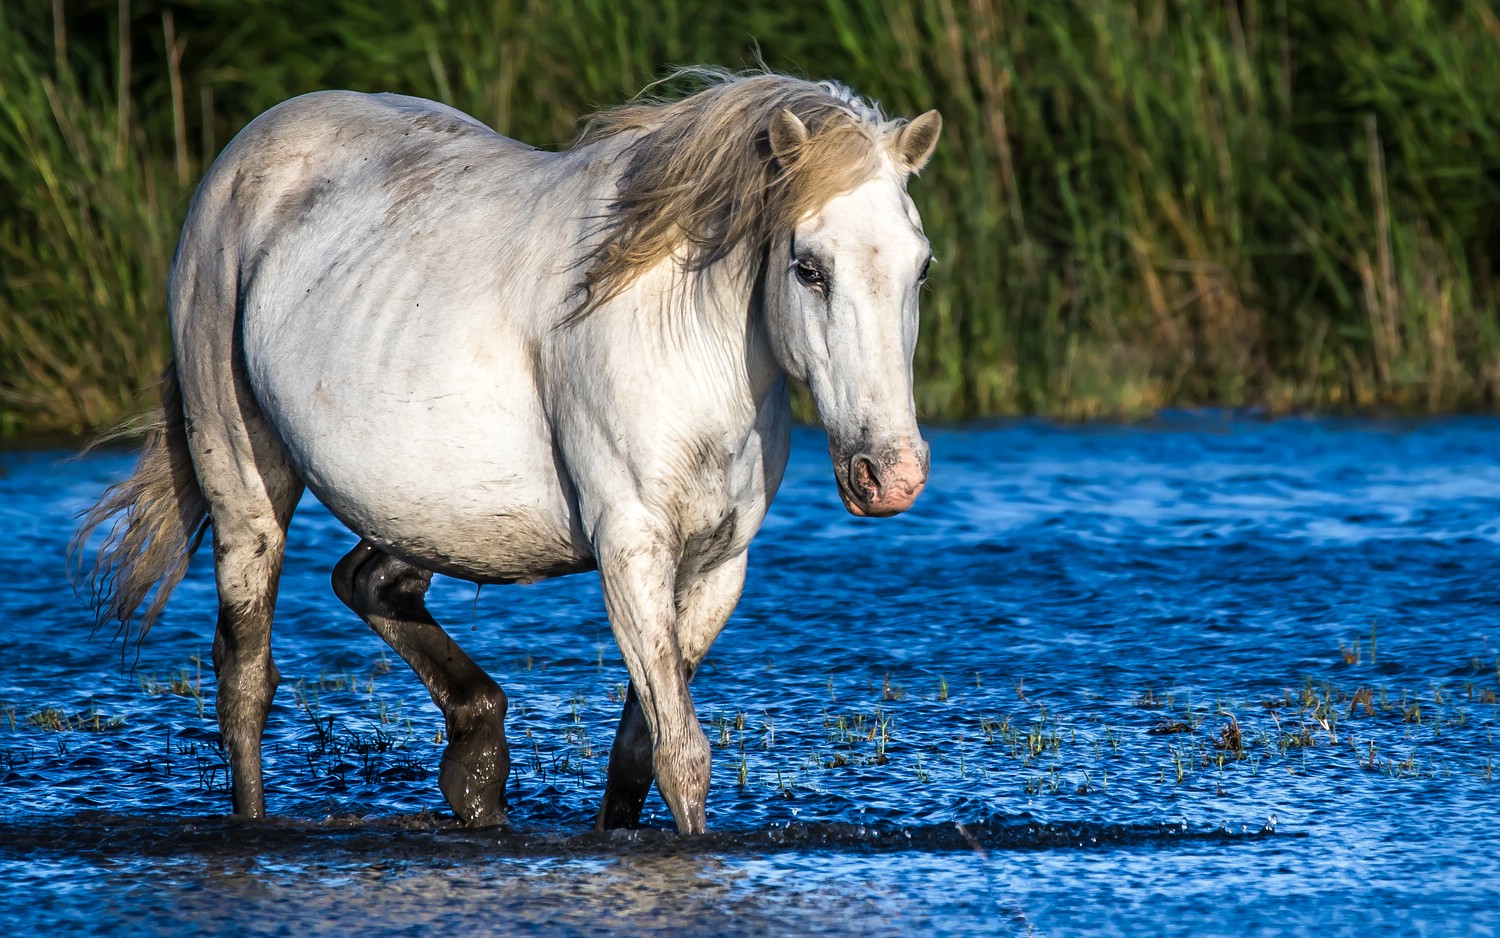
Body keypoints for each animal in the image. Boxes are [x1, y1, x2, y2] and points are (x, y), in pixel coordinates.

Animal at [79, 73, 936, 834]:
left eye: (921, 266)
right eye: (808, 267)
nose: (889, 477)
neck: (693, 341)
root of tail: (241, 156)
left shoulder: (716, 567)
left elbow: (637, 753)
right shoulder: (630, 547)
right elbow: (682, 755)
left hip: (418, 506)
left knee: (369, 582)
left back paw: (477, 764)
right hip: (243, 481)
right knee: (246, 678)